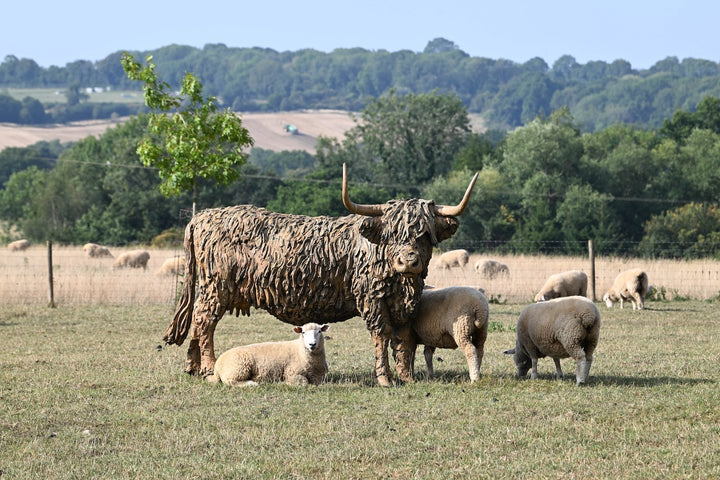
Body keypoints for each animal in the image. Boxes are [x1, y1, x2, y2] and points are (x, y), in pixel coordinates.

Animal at [163, 164, 478, 386]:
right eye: (391, 234)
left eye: (424, 235)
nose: (408, 261)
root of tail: (202, 217)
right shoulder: (372, 299)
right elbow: (381, 335)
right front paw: (384, 378)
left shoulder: (401, 304)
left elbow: (402, 340)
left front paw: (406, 377)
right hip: (217, 287)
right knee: (205, 324)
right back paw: (207, 368)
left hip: (211, 289)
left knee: (198, 323)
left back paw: (192, 368)